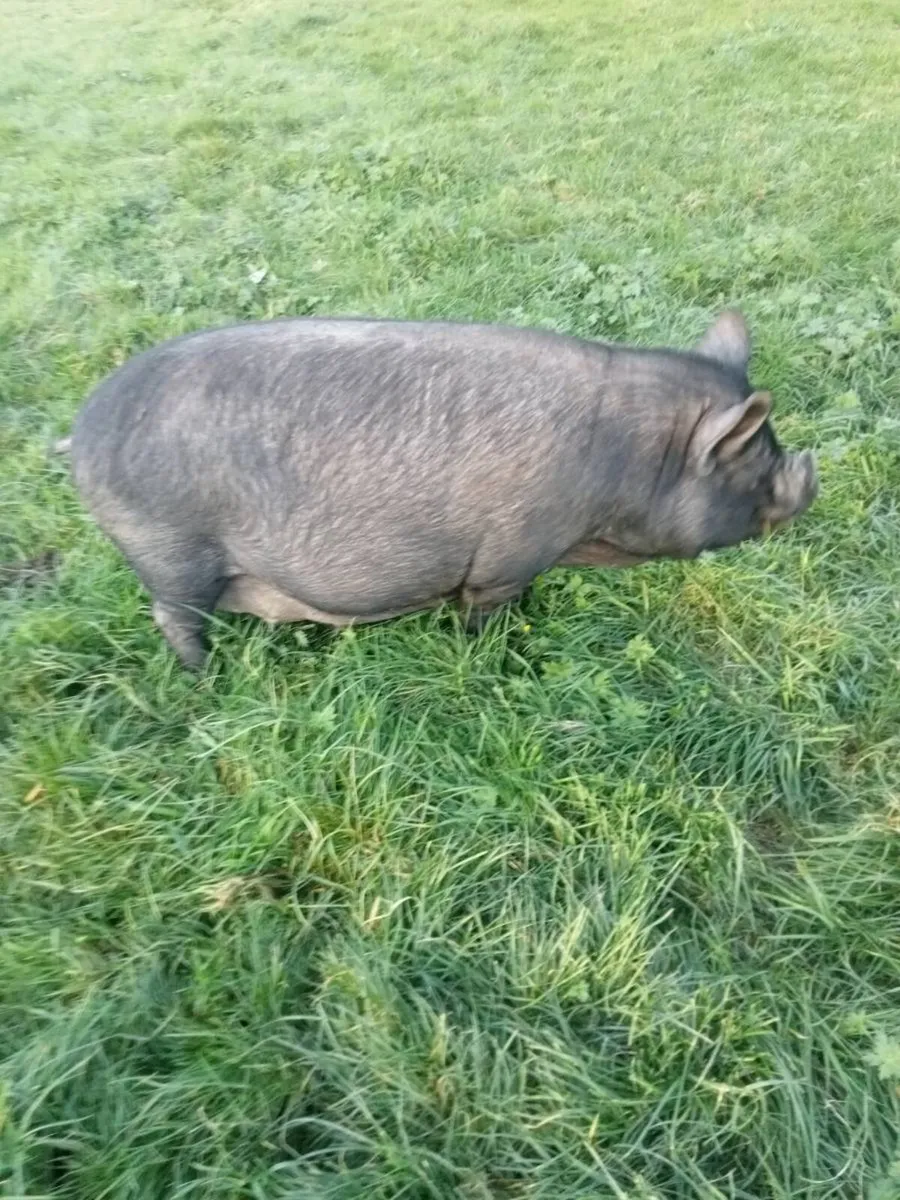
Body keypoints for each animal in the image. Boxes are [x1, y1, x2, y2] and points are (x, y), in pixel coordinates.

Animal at [63, 310, 817, 669]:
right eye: (754, 461)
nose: (811, 474)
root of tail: (81, 432)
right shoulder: (505, 559)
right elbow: (487, 611)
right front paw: (495, 652)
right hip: (169, 548)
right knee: (173, 616)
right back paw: (205, 679)